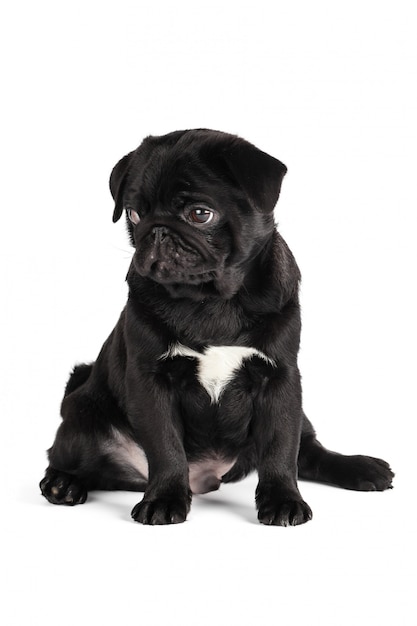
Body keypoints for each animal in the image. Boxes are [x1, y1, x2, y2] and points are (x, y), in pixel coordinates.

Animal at [39, 129, 394, 524]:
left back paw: (360, 468)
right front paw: (164, 498)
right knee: (70, 458)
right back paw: (63, 484)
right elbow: (165, 446)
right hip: (81, 415)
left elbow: (281, 447)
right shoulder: (150, 381)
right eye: (134, 213)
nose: (157, 231)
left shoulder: (280, 379)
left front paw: (282, 500)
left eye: (200, 214)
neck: (211, 300)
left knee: (308, 451)